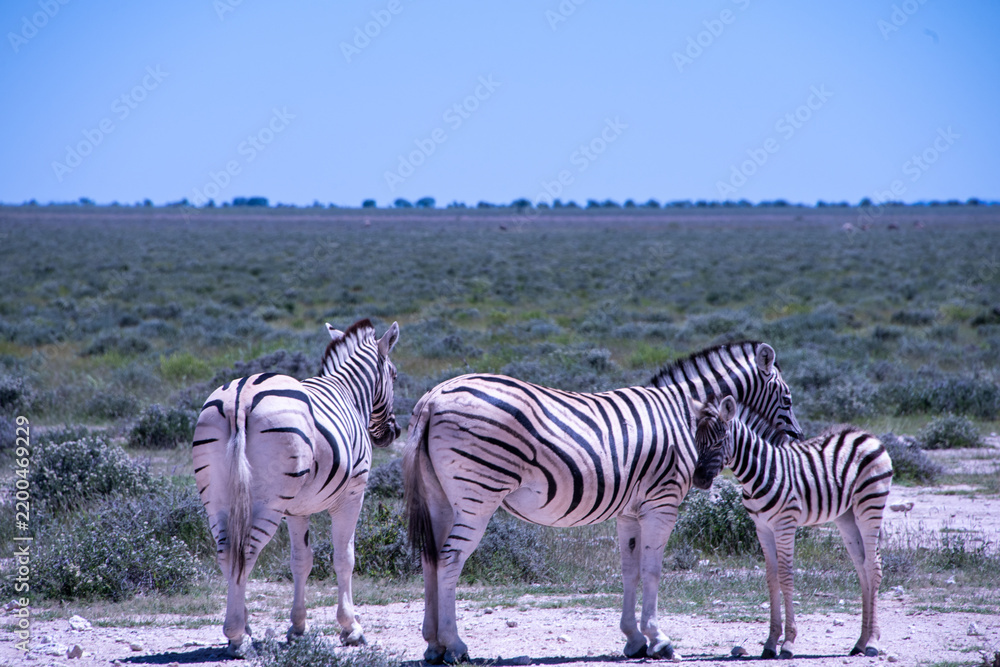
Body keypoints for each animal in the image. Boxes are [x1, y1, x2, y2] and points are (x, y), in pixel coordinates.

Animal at [192, 318, 400, 656]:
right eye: (394, 375)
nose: (392, 433)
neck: (349, 393)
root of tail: (241, 397)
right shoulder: (352, 495)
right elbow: (345, 558)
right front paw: (351, 628)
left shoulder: (297, 509)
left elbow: (301, 561)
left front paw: (298, 628)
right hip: (267, 501)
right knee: (245, 552)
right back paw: (237, 636)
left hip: (217, 497)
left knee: (226, 553)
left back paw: (244, 627)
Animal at [404, 341, 801, 664]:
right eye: (787, 398)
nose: (795, 438)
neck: (681, 416)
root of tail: (433, 397)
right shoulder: (662, 502)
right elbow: (652, 570)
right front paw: (660, 641)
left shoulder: (629, 511)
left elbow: (630, 570)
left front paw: (635, 640)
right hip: (478, 494)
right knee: (451, 559)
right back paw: (456, 646)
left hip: (440, 498)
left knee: (431, 558)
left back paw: (433, 645)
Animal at [691, 395, 893, 659]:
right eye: (696, 441)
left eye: (719, 441)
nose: (698, 479)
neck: (759, 472)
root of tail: (866, 434)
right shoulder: (762, 528)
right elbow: (771, 577)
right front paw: (770, 643)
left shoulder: (784, 524)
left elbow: (786, 577)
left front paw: (788, 643)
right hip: (846, 516)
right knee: (862, 567)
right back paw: (860, 642)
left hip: (870, 505)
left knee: (873, 566)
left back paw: (873, 642)